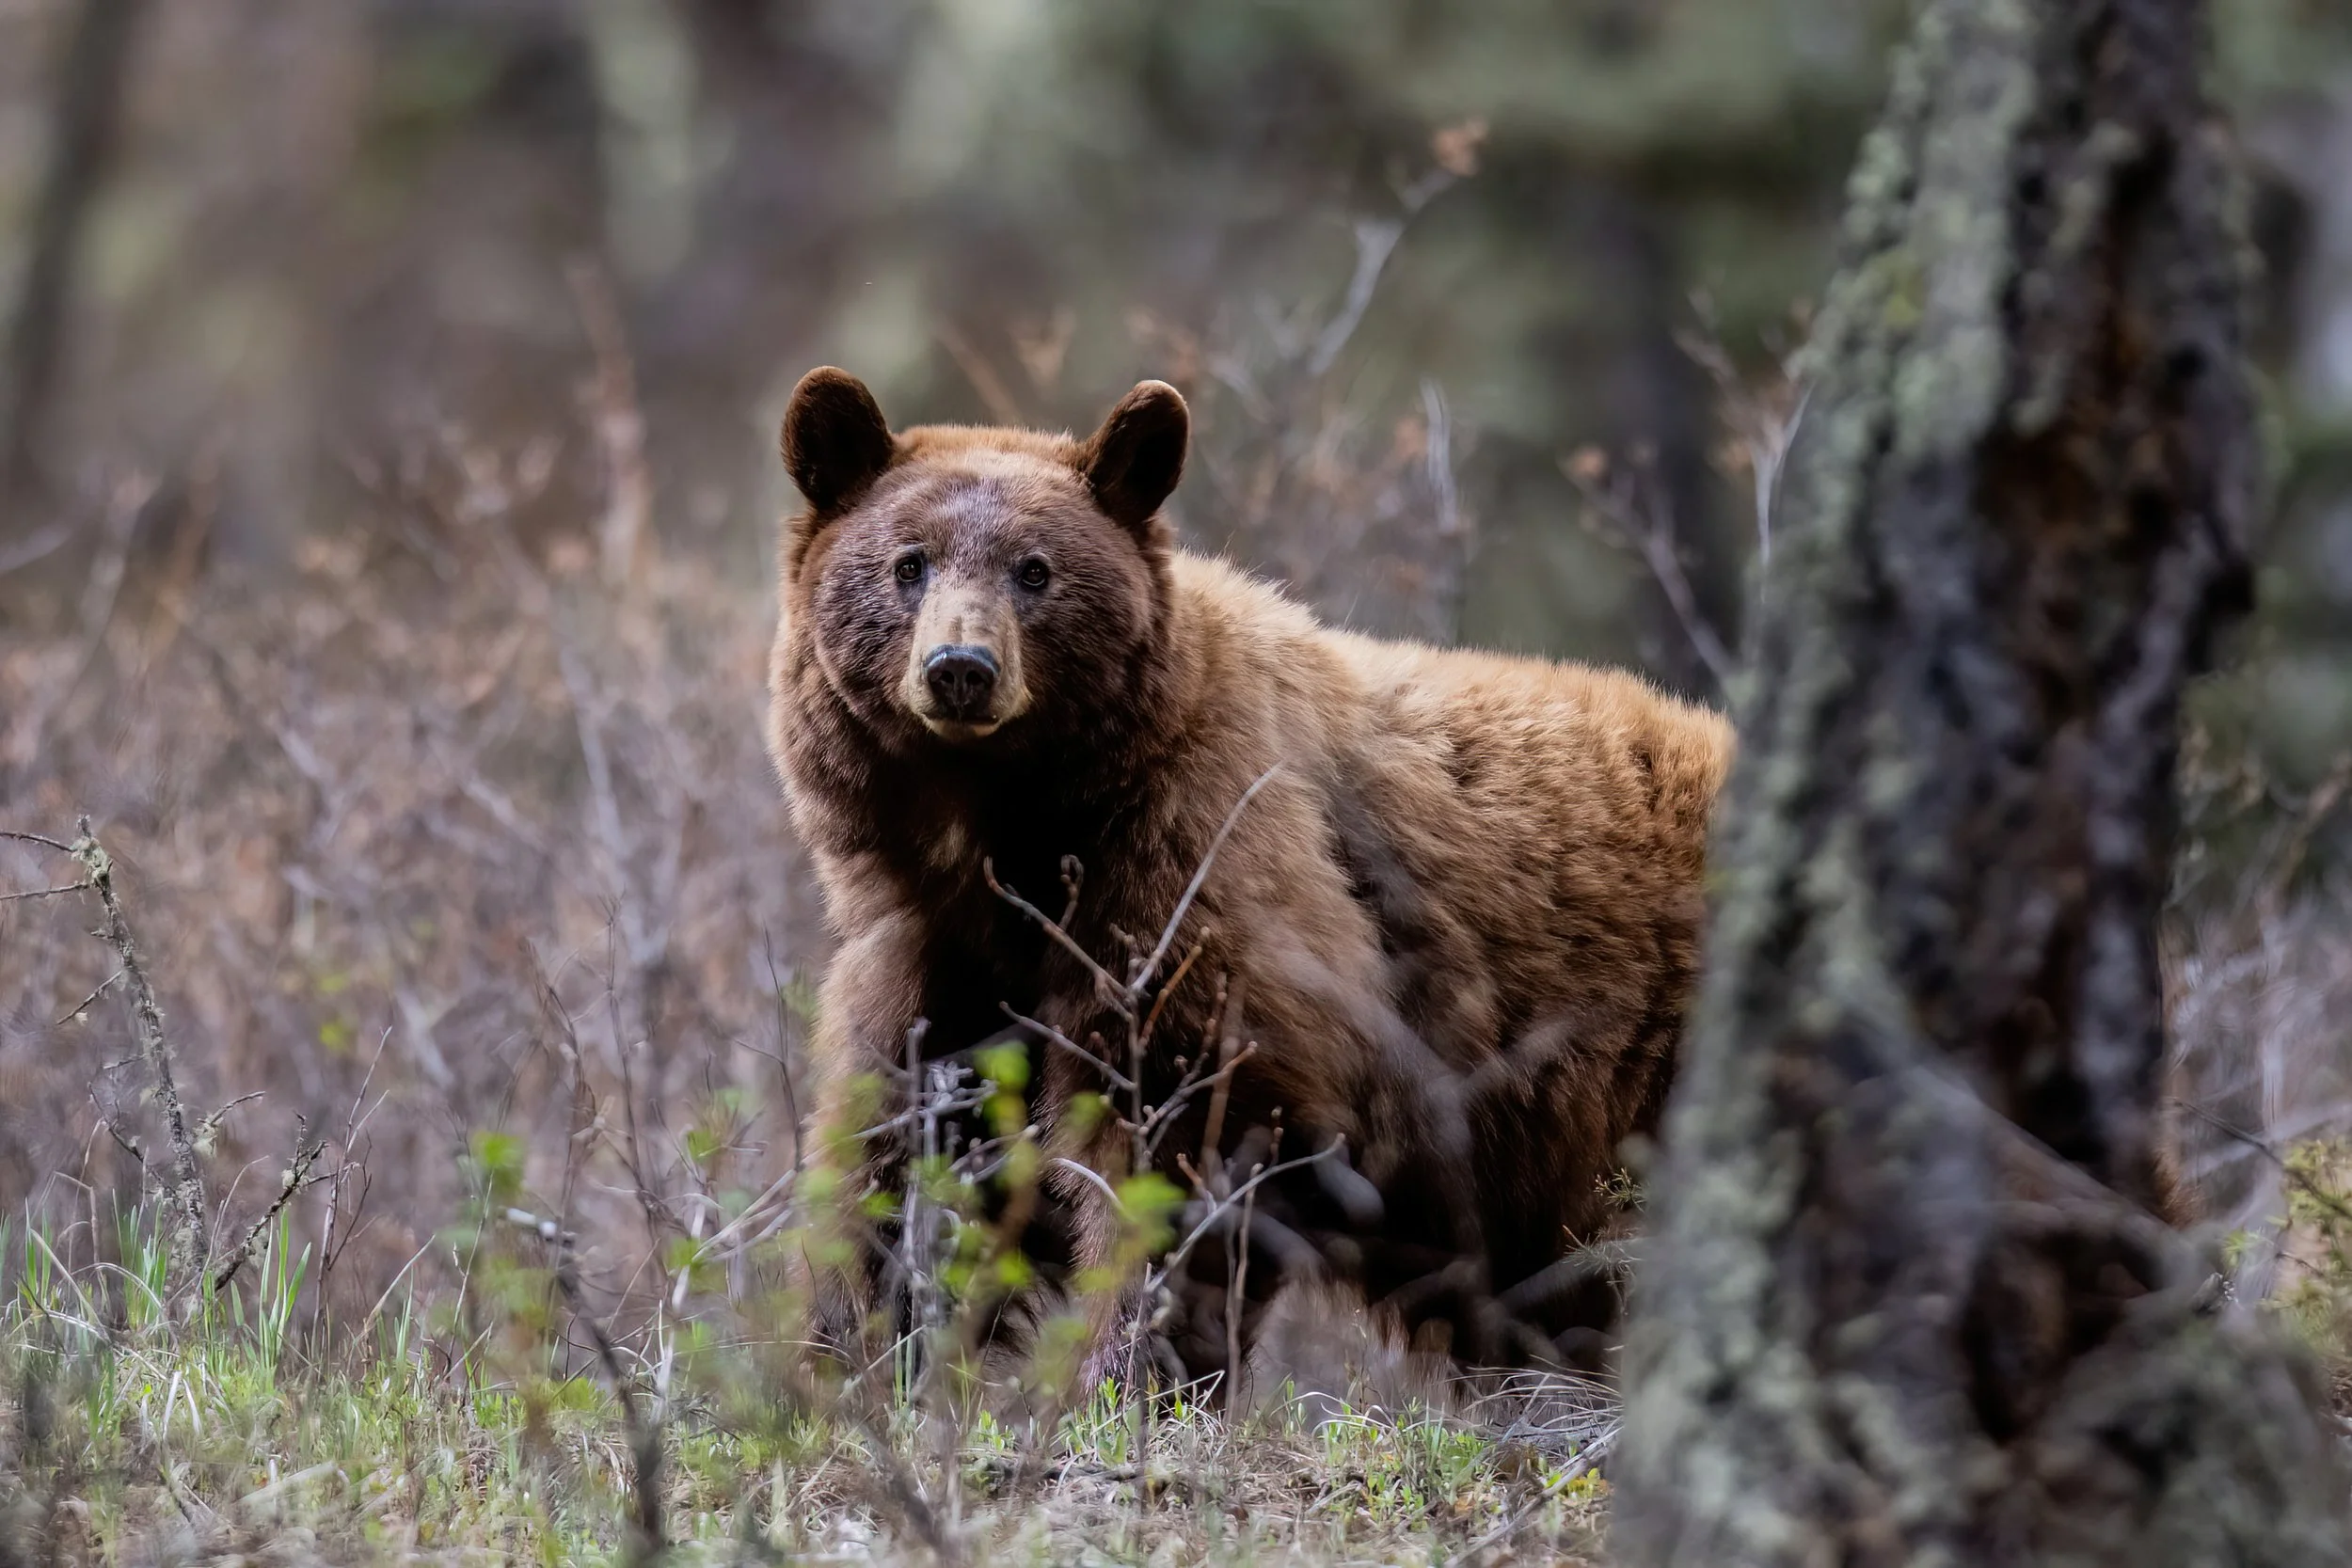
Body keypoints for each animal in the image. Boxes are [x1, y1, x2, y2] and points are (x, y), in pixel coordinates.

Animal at [766, 367, 1734, 1384]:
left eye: (1034, 570)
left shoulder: (1201, 858)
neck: (1005, 839)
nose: (961, 668)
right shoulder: (938, 958)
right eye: (907, 563)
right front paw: (850, 1356)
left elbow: (1193, 1129)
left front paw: (1126, 1374)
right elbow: (905, 1148)